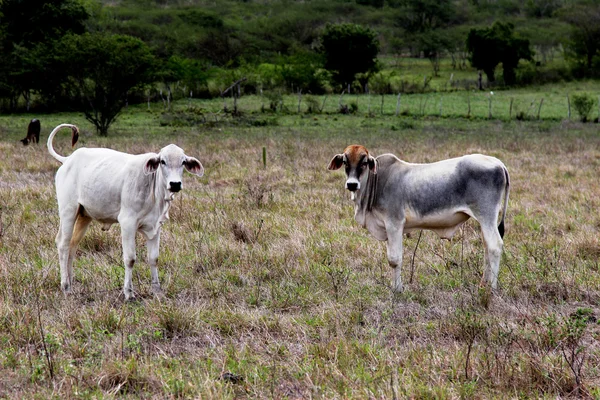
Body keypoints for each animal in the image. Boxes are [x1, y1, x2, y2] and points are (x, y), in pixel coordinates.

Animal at [47, 123, 206, 298]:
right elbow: (130, 259)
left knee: (73, 246)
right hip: (68, 211)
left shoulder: (156, 226)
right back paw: (65, 286)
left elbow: (154, 258)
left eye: (183, 162)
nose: (175, 184)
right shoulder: (127, 223)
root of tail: (69, 159)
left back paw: (71, 284)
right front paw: (129, 293)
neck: (153, 189)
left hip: (84, 216)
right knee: (63, 243)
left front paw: (157, 291)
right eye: (162, 161)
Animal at [328, 145, 510, 292]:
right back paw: (484, 283)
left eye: (364, 163)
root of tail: (498, 163)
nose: (352, 184)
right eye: (345, 162)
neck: (377, 182)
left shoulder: (394, 223)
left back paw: (491, 288)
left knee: (494, 246)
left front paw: (397, 290)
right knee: (487, 247)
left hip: (486, 215)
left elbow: (394, 259)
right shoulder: (387, 227)